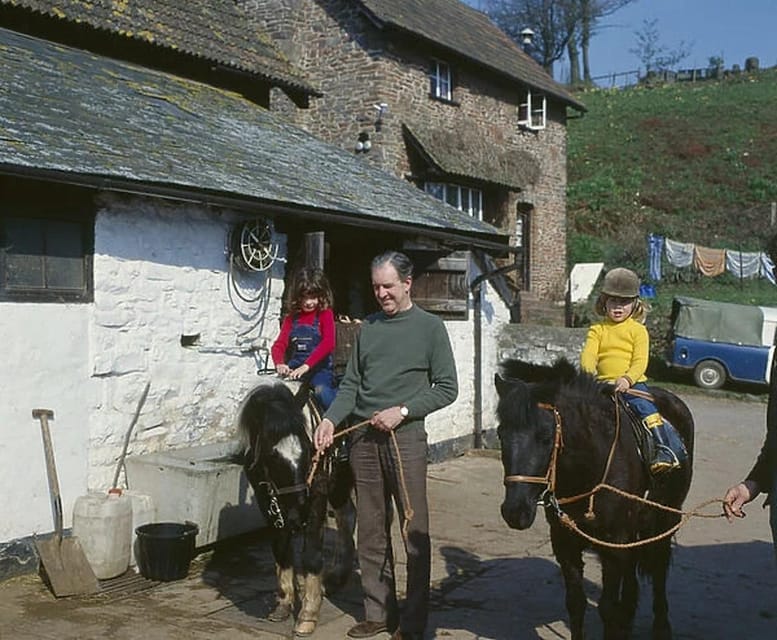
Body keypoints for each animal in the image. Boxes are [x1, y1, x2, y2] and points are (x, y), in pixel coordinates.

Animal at [236, 378, 354, 636]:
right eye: (271, 454)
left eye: (308, 449)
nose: (298, 514)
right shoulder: (266, 500)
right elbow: (281, 548)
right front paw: (284, 603)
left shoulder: (317, 496)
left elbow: (311, 555)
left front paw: (307, 615)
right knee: (347, 516)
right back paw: (337, 577)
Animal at [494, 358, 696, 640]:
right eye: (501, 434)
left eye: (545, 436)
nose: (515, 511)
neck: (589, 468)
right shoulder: (565, 541)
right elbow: (576, 602)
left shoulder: (612, 544)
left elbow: (607, 607)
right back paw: (628, 616)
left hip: (666, 515)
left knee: (659, 565)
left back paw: (661, 626)